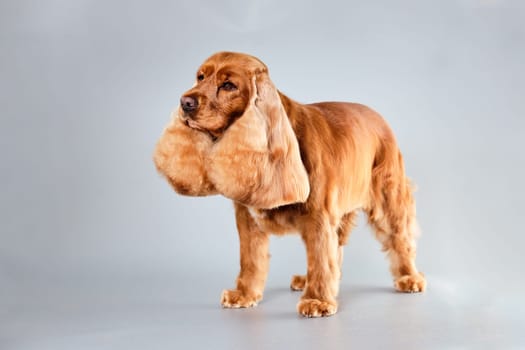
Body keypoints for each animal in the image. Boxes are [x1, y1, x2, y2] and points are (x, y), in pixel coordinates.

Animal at [152, 51, 426, 318]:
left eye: (229, 85)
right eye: (200, 77)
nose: (185, 103)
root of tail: (377, 115)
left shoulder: (318, 216)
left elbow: (319, 258)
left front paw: (317, 300)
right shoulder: (247, 218)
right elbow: (250, 259)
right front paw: (245, 295)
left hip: (388, 196)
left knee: (399, 237)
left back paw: (409, 277)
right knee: (336, 249)